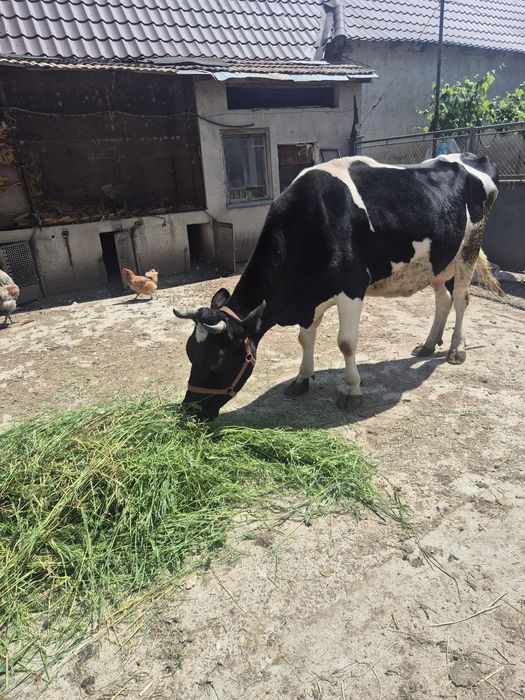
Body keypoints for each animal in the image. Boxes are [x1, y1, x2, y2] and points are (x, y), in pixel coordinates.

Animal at [174, 153, 502, 420]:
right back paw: (429, 344)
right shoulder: (310, 297)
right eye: (190, 352)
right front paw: (301, 380)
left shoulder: (352, 288)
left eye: (218, 360)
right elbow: (305, 339)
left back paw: (456, 350)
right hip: (439, 259)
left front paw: (350, 391)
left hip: (469, 249)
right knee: (443, 299)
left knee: (460, 298)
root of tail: (473, 157)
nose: (190, 411)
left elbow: (346, 343)